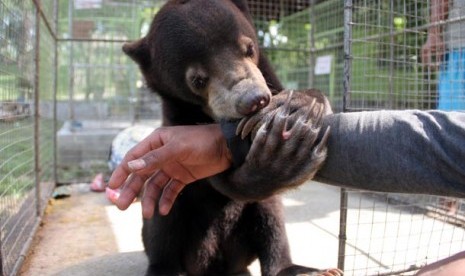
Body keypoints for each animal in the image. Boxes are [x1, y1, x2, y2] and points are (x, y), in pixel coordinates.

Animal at [121, 0, 336, 276]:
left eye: (249, 48)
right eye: (197, 80)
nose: (254, 99)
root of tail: (218, 266)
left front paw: (300, 105)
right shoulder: (177, 122)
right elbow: (217, 177)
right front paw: (278, 159)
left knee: (271, 217)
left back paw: (300, 269)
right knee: (163, 215)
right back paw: (164, 269)